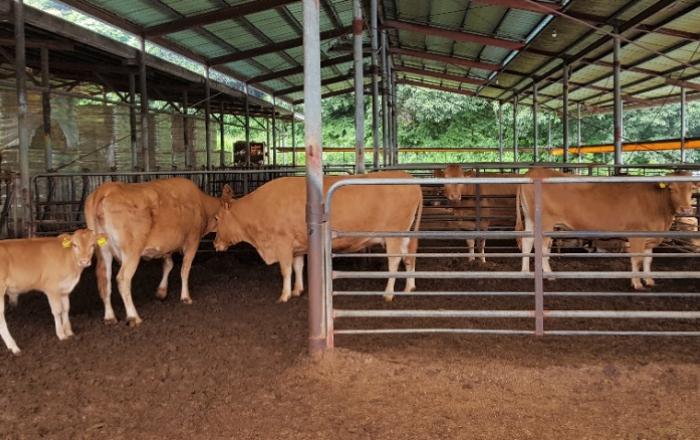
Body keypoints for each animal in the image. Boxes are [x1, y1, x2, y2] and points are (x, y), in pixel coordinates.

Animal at [84, 178, 227, 326]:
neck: (201, 204)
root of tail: (105, 189)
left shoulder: (167, 246)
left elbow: (168, 265)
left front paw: (161, 291)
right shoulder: (192, 241)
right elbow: (185, 269)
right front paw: (185, 297)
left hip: (104, 251)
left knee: (104, 280)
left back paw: (110, 317)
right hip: (132, 252)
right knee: (123, 279)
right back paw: (133, 316)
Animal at [213, 171, 423, 303]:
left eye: (217, 218)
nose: (215, 244)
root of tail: (407, 178)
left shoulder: (282, 242)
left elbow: (285, 270)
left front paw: (284, 295)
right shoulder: (297, 245)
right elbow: (298, 266)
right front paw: (297, 290)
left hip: (393, 234)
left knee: (394, 260)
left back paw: (388, 294)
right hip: (406, 235)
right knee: (409, 256)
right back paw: (409, 287)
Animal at [517, 168, 695, 290]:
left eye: (692, 189)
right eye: (672, 188)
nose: (686, 209)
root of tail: (534, 171)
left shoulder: (650, 236)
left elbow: (648, 259)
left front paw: (649, 280)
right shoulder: (636, 235)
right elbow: (636, 258)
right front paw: (636, 283)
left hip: (531, 219)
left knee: (527, 241)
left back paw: (525, 271)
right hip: (545, 222)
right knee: (541, 247)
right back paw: (549, 274)